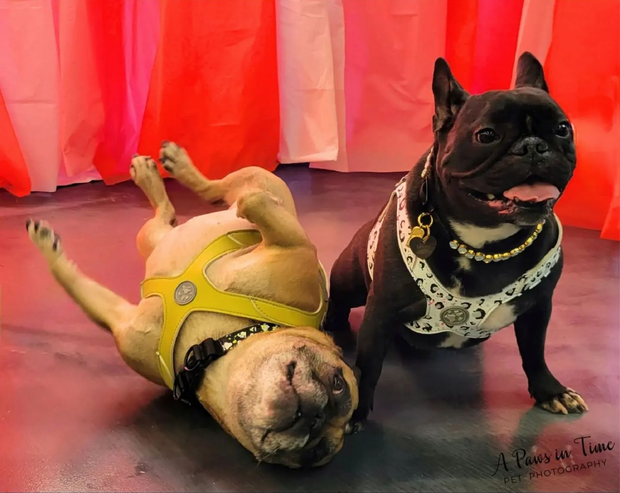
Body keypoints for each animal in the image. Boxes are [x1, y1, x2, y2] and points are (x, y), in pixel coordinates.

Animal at [27, 141, 358, 466]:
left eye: (315, 453)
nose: (317, 417)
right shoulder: (296, 252)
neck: (212, 346)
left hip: (149, 235)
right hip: (253, 178)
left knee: (174, 212)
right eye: (338, 383)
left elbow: (76, 285)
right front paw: (47, 247)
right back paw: (167, 170)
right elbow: (255, 203)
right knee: (214, 192)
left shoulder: (120, 322)